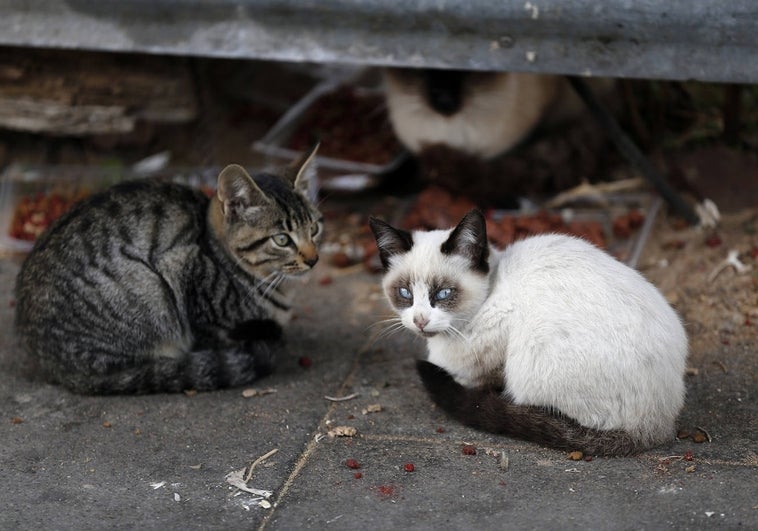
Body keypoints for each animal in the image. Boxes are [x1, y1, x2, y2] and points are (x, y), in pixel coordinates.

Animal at [14, 147, 324, 394]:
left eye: (314, 229)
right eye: (281, 239)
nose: (313, 259)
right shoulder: (183, 273)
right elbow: (213, 336)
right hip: (150, 292)